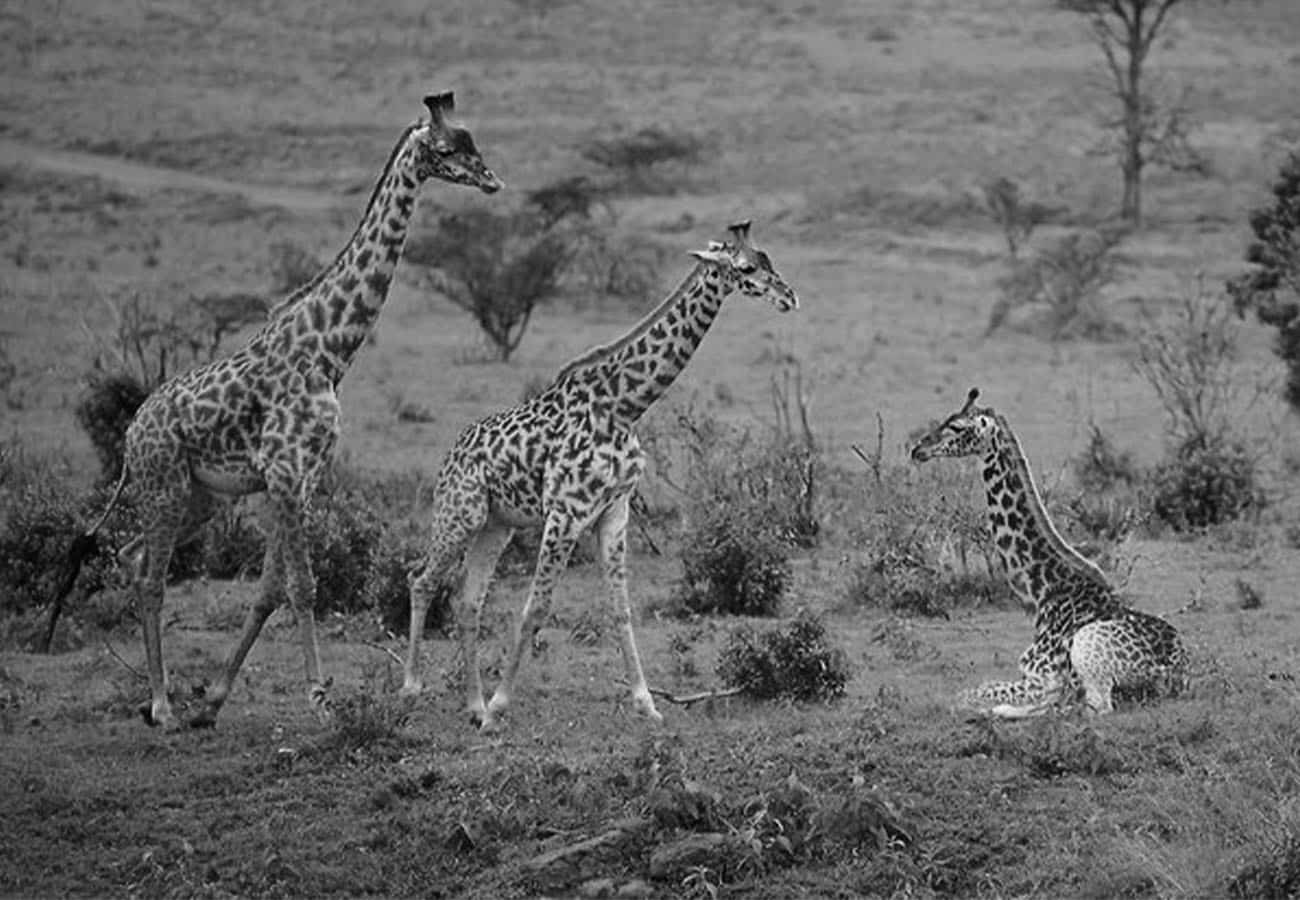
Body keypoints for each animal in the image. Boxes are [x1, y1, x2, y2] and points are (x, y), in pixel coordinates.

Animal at [48, 91, 501, 728]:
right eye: (445, 148)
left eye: (472, 141)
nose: (491, 180)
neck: (330, 350)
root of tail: (134, 429)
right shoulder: (285, 472)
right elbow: (304, 586)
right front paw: (320, 700)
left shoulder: (300, 477)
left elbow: (268, 591)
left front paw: (215, 698)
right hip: (163, 483)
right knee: (153, 576)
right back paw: (161, 705)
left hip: (201, 497)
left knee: (135, 557)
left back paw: (165, 700)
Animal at [400, 219, 795, 733]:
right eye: (747, 268)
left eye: (768, 259)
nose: (789, 297)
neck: (624, 406)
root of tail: (450, 454)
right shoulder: (565, 513)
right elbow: (535, 608)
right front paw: (502, 704)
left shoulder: (614, 510)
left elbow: (621, 609)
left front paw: (647, 703)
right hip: (459, 514)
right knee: (421, 579)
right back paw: (414, 689)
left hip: (496, 526)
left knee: (469, 603)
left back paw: (473, 705)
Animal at [909, 387, 1185, 717]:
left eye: (956, 427)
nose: (918, 449)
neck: (1043, 591)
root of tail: (1173, 675)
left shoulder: (1041, 675)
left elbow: (964, 695)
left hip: (1088, 651)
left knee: (1092, 708)